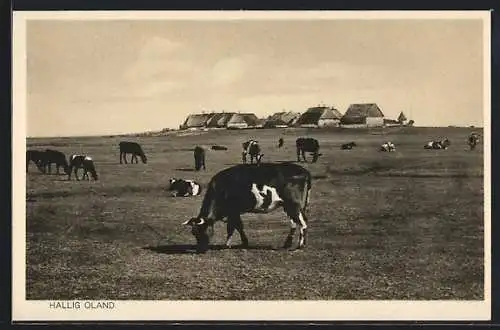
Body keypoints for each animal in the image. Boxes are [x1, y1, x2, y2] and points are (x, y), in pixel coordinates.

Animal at [180, 164, 312, 254]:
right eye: (194, 233)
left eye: (205, 230)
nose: (200, 250)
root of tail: (304, 170)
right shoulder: (233, 212)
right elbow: (237, 226)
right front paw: (240, 243)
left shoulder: (233, 211)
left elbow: (234, 227)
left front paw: (228, 244)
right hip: (288, 206)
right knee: (294, 223)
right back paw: (287, 244)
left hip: (294, 205)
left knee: (303, 223)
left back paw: (300, 246)